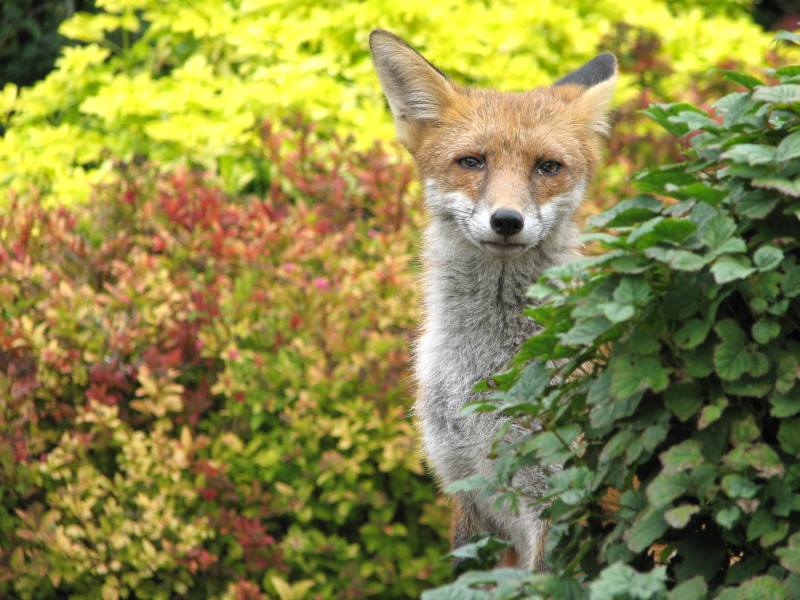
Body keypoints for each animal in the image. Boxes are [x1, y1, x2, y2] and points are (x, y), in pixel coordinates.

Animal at [369, 30, 617, 570]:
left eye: (547, 167)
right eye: (472, 162)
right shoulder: (469, 491)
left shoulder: (560, 499)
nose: (507, 220)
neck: (484, 367)